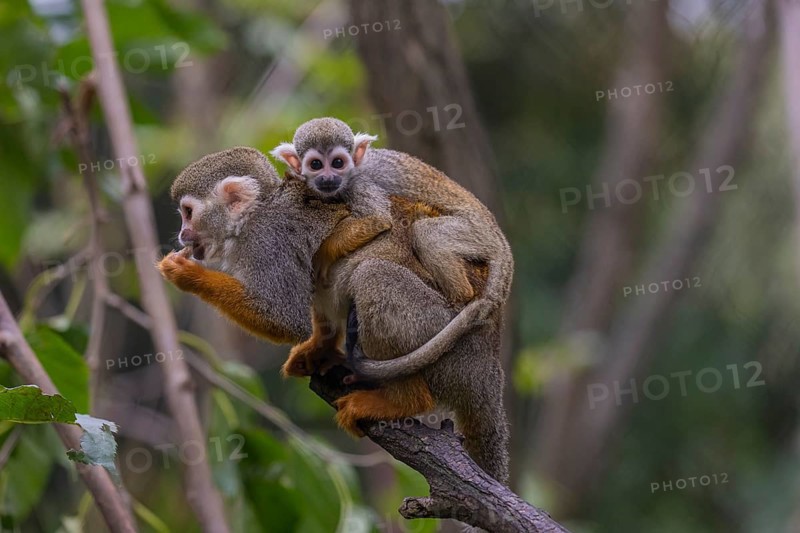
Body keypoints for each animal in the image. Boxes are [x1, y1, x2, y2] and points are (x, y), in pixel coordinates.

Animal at [158, 147, 510, 484]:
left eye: (188, 213)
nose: (182, 234)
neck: (252, 218)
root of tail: (488, 366)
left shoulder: (267, 243)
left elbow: (283, 317)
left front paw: (187, 274)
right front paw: (320, 348)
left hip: (443, 338)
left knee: (373, 276)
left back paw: (405, 400)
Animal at [271, 117, 514, 383]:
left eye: (337, 163)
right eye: (316, 164)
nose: (328, 178)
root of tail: (501, 240)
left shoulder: (360, 185)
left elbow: (376, 219)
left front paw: (325, 253)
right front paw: (318, 348)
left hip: (474, 232)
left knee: (427, 234)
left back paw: (459, 299)